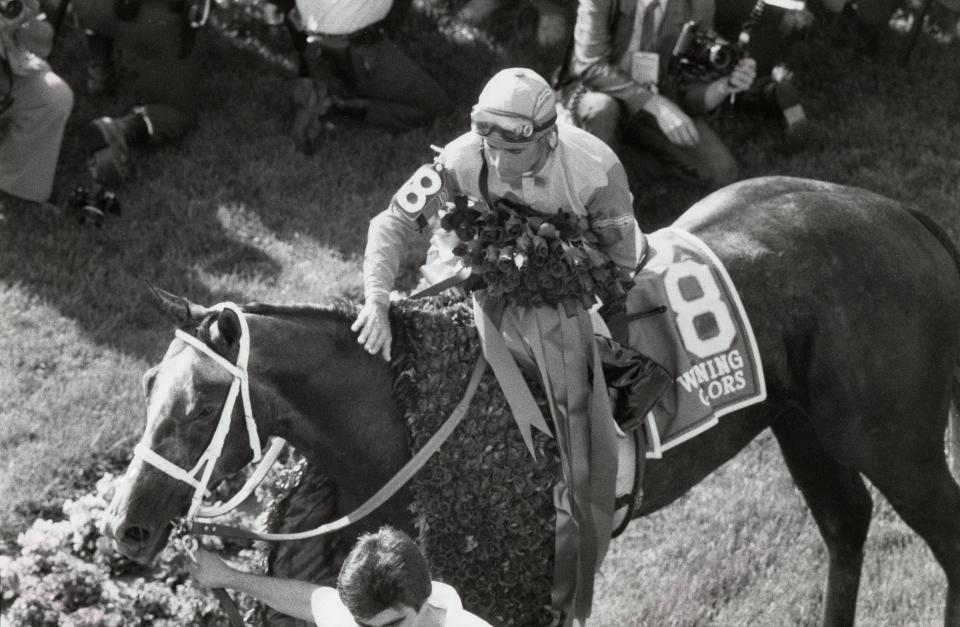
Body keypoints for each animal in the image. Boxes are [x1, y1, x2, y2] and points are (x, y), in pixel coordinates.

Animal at [99, 178, 960, 627]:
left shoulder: (504, 579)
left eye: (201, 408)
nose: (126, 529)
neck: (396, 415)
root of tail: (904, 215)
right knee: (846, 524)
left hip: (896, 439)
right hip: (804, 424)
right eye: (146, 390)